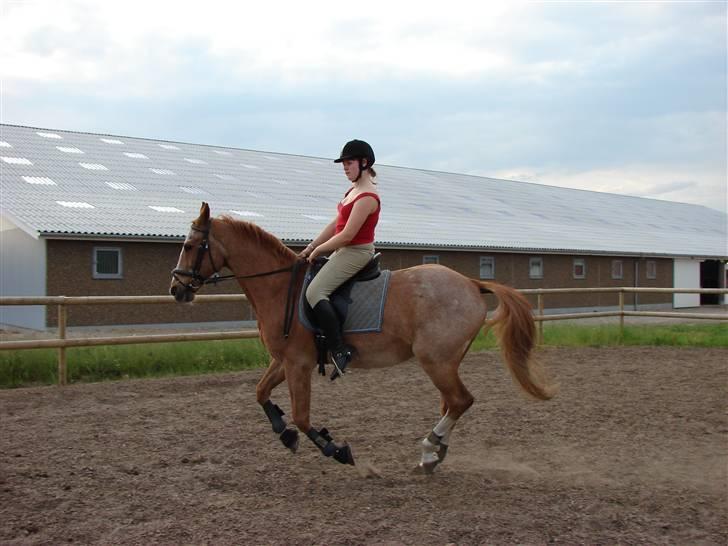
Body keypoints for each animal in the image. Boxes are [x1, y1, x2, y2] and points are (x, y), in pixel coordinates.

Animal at [171, 202, 556, 470]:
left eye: (189, 245)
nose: (177, 290)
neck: (280, 288)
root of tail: (471, 283)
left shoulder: (298, 364)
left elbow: (302, 416)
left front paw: (336, 449)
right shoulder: (284, 360)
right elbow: (260, 392)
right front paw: (285, 433)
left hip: (435, 360)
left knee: (461, 401)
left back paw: (429, 447)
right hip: (447, 361)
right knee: (451, 403)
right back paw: (434, 455)